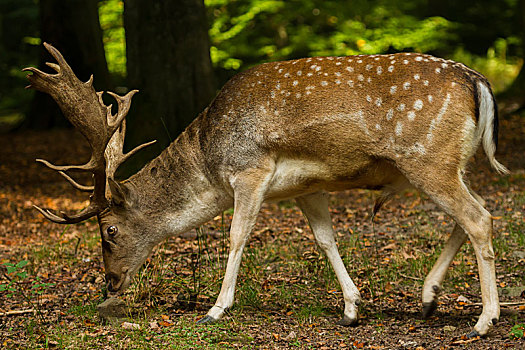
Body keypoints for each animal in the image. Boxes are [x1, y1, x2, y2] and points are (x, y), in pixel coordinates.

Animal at [25, 42, 508, 338]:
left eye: (109, 230)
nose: (110, 283)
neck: (210, 162)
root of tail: (478, 82)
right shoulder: (306, 187)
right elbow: (325, 240)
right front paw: (352, 309)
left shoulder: (250, 170)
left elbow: (237, 236)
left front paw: (216, 309)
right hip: (448, 165)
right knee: (475, 213)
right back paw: (428, 299)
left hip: (428, 158)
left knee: (479, 218)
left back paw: (484, 320)